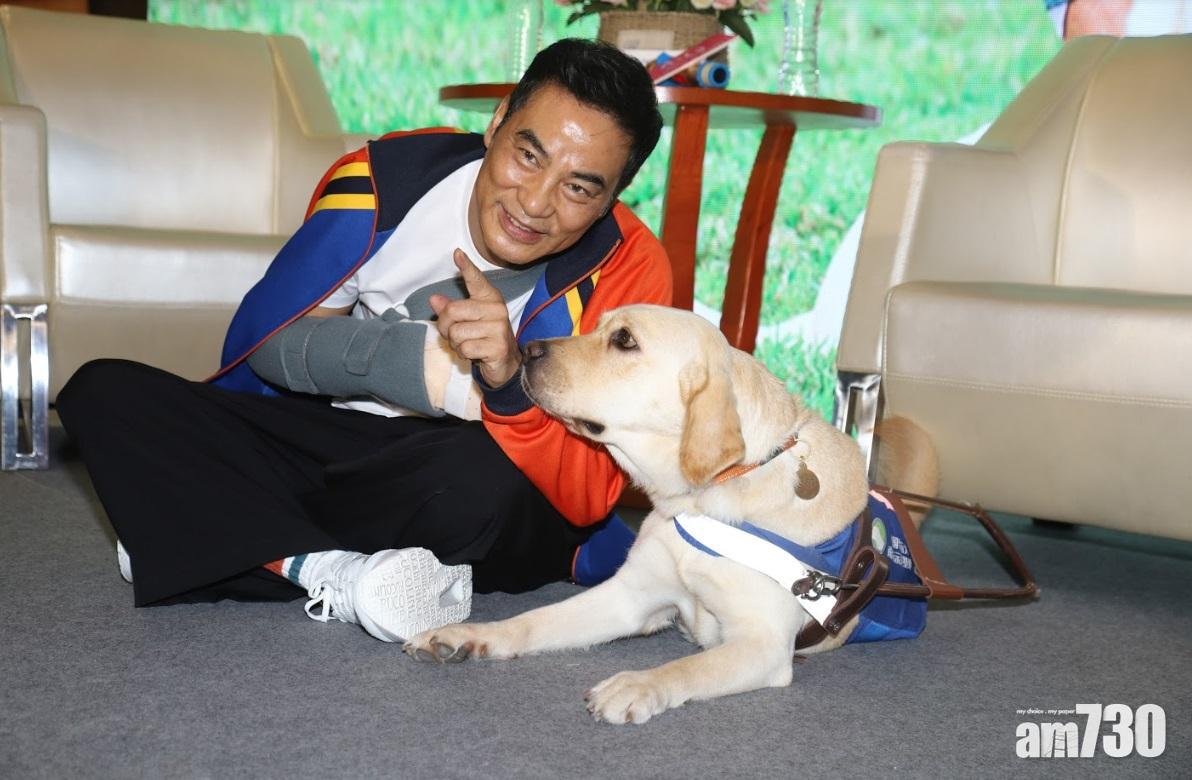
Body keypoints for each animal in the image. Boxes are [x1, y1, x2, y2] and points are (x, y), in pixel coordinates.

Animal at [404, 304, 938, 724]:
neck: (698, 499)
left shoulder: (762, 644)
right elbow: (532, 620)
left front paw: (638, 683)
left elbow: (689, 667)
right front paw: (469, 634)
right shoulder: (628, 597)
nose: (528, 348)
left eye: (624, 340)